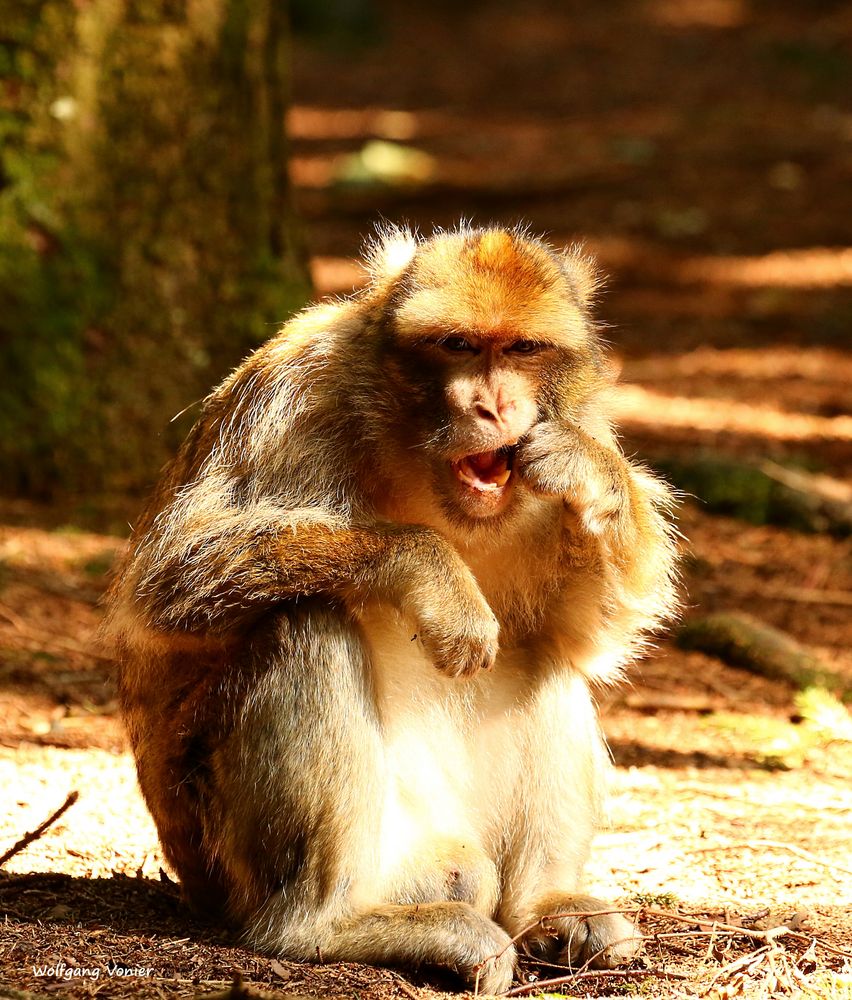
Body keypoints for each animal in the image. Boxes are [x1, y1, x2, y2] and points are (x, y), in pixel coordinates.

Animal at [105, 223, 680, 996]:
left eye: (522, 350)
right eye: (458, 345)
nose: (494, 408)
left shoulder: (574, 420)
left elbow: (585, 631)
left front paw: (593, 474)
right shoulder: (290, 395)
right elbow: (170, 577)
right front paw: (432, 572)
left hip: (446, 855)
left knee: (541, 653)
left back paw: (544, 910)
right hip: (244, 859)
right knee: (306, 623)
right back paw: (323, 926)